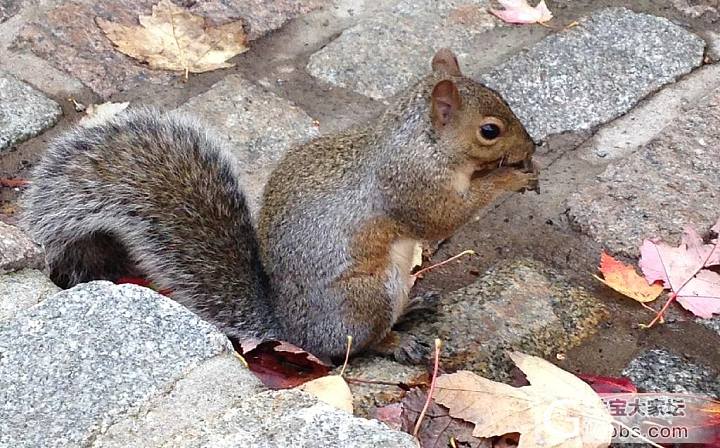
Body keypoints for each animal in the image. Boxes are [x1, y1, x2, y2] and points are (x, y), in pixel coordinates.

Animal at [21, 48, 536, 364]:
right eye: (490, 130)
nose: (530, 145)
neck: (421, 142)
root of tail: (291, 329)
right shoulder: (410, 185)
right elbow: (442, 217)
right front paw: (513, 176)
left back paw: (414, 308)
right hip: (365, 297)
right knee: (356, 346)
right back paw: (398, 341)